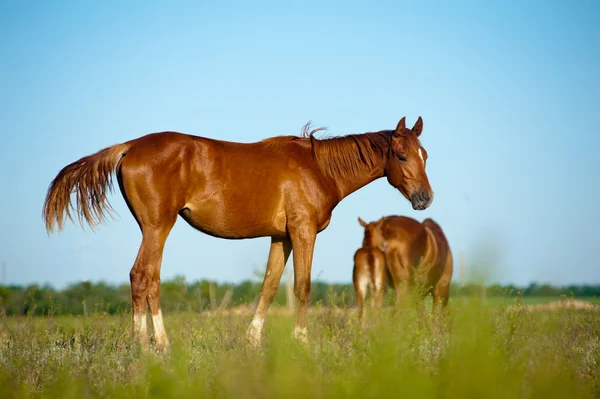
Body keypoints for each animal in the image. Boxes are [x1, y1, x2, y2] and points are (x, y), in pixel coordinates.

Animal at [44, 116, 434, 350]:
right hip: (157, 227)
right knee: (143, 276)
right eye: (401, 156)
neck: (318, 169)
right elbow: (302, 287)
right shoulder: (304, 232)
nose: (425, 198)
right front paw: (302, 341)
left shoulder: (282, 237)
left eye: (425, 155)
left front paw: (253, 341)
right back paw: (149, 347)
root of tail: (129, 146)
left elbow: (269, 286)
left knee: (149, 278)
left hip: (153, 228)